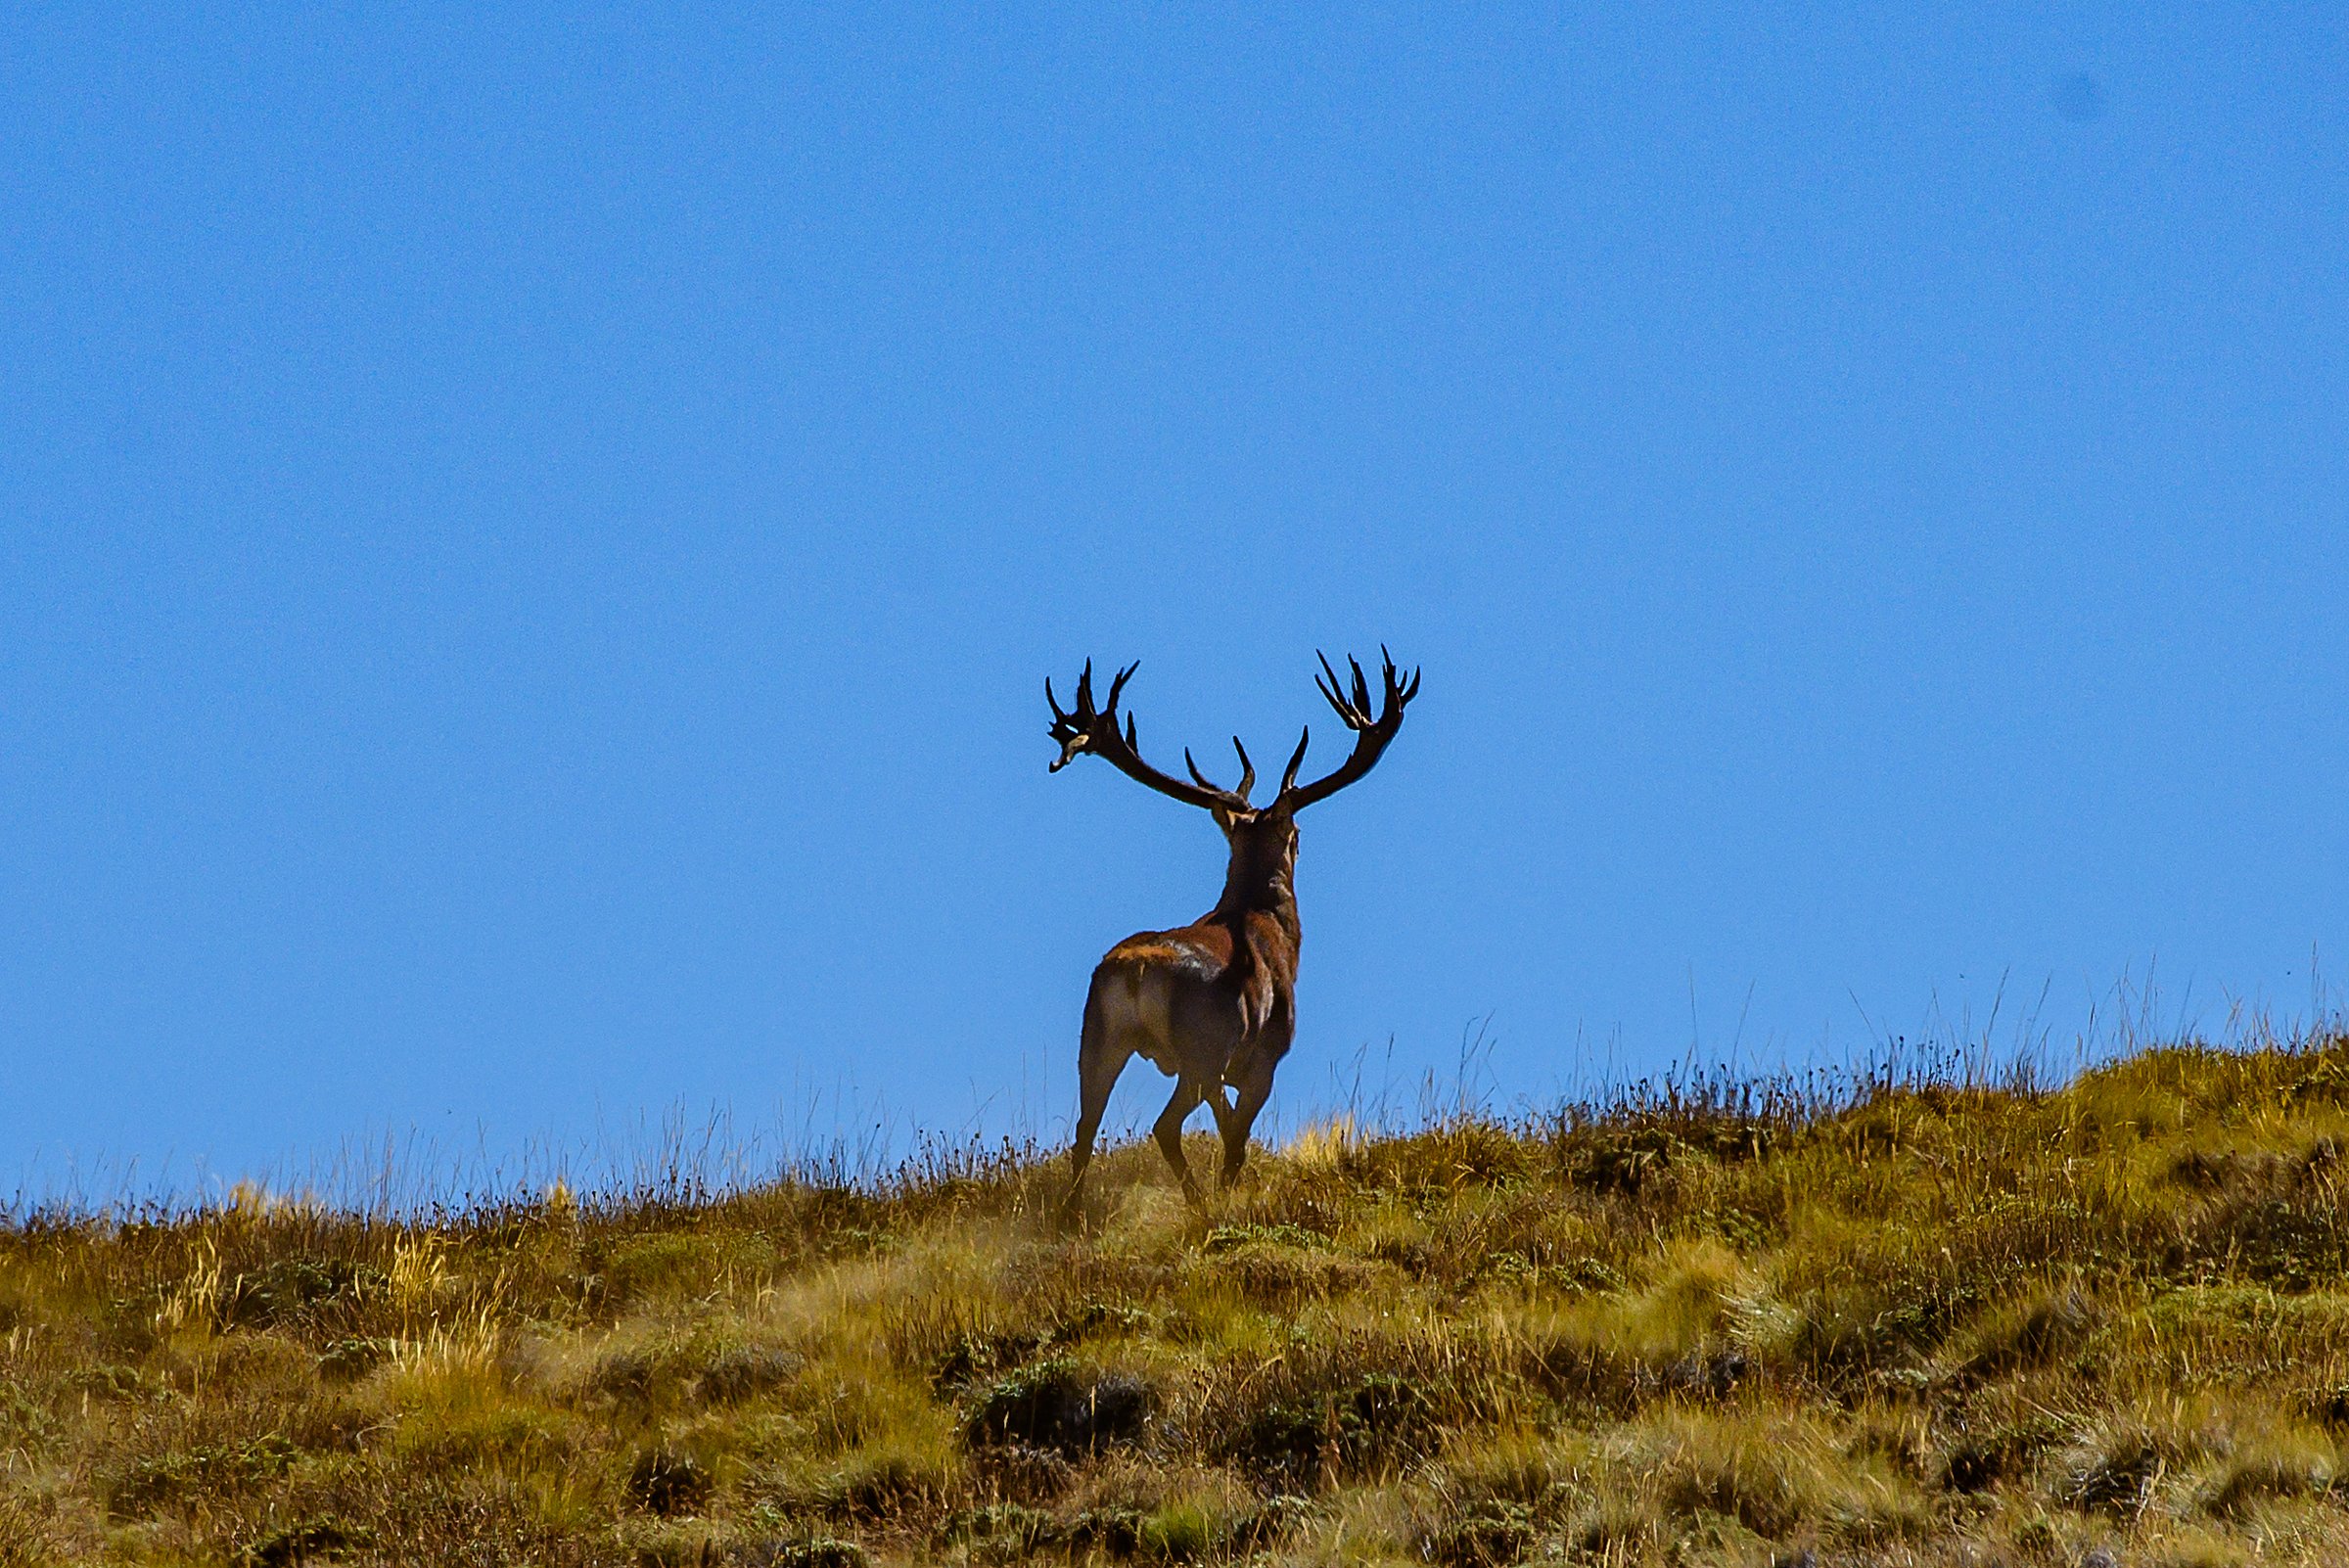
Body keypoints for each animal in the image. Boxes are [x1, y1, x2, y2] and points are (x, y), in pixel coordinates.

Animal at [1045, 648, 1419, 1211]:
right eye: (1298, 834)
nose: (1299, 840)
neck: (1272, 930)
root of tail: (1135, 972)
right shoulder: (1264, 1056)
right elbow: (1237, 1137)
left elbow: (1226, 1129)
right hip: (1203, 1045)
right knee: (1164, 1126)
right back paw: (1201, 1205)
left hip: (1098, 1036)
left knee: (1084, 1131)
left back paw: (1072, 1214)